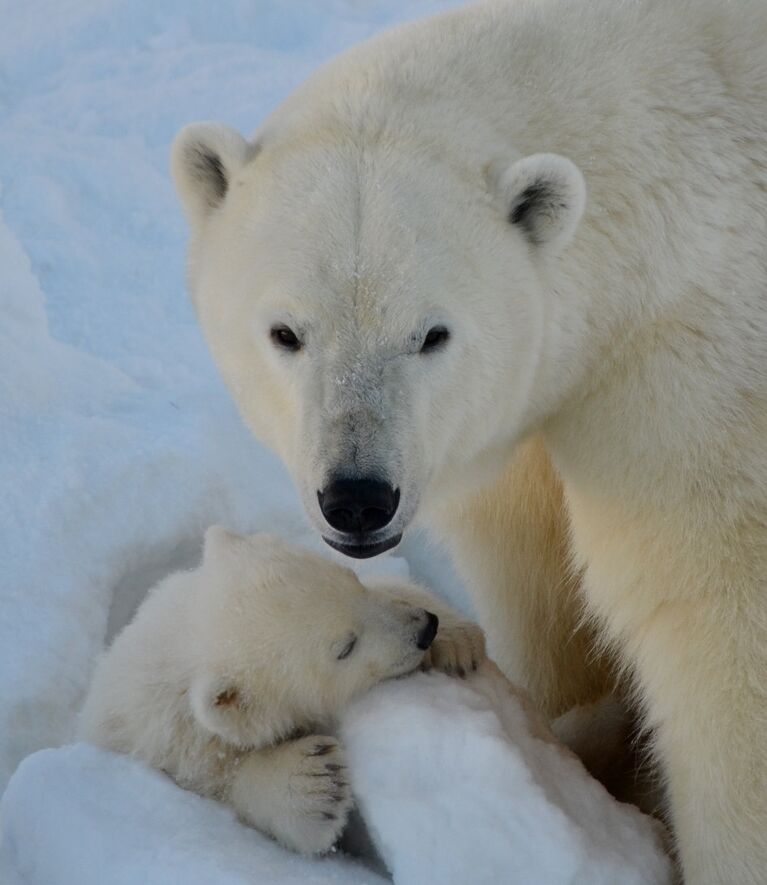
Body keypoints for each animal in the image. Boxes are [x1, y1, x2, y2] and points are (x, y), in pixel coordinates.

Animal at [79, 528, 486, 852]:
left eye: (350, 577)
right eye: (345, 647)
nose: (424, 629)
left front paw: (458, 640)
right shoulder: (173, 748)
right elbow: (228, 784)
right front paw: (315, 783)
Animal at [171, 0, 767, 876]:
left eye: (432, 333)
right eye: (285, 332)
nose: (357, 497)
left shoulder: (695, 374)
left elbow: (715, 629)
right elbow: (531, 570)